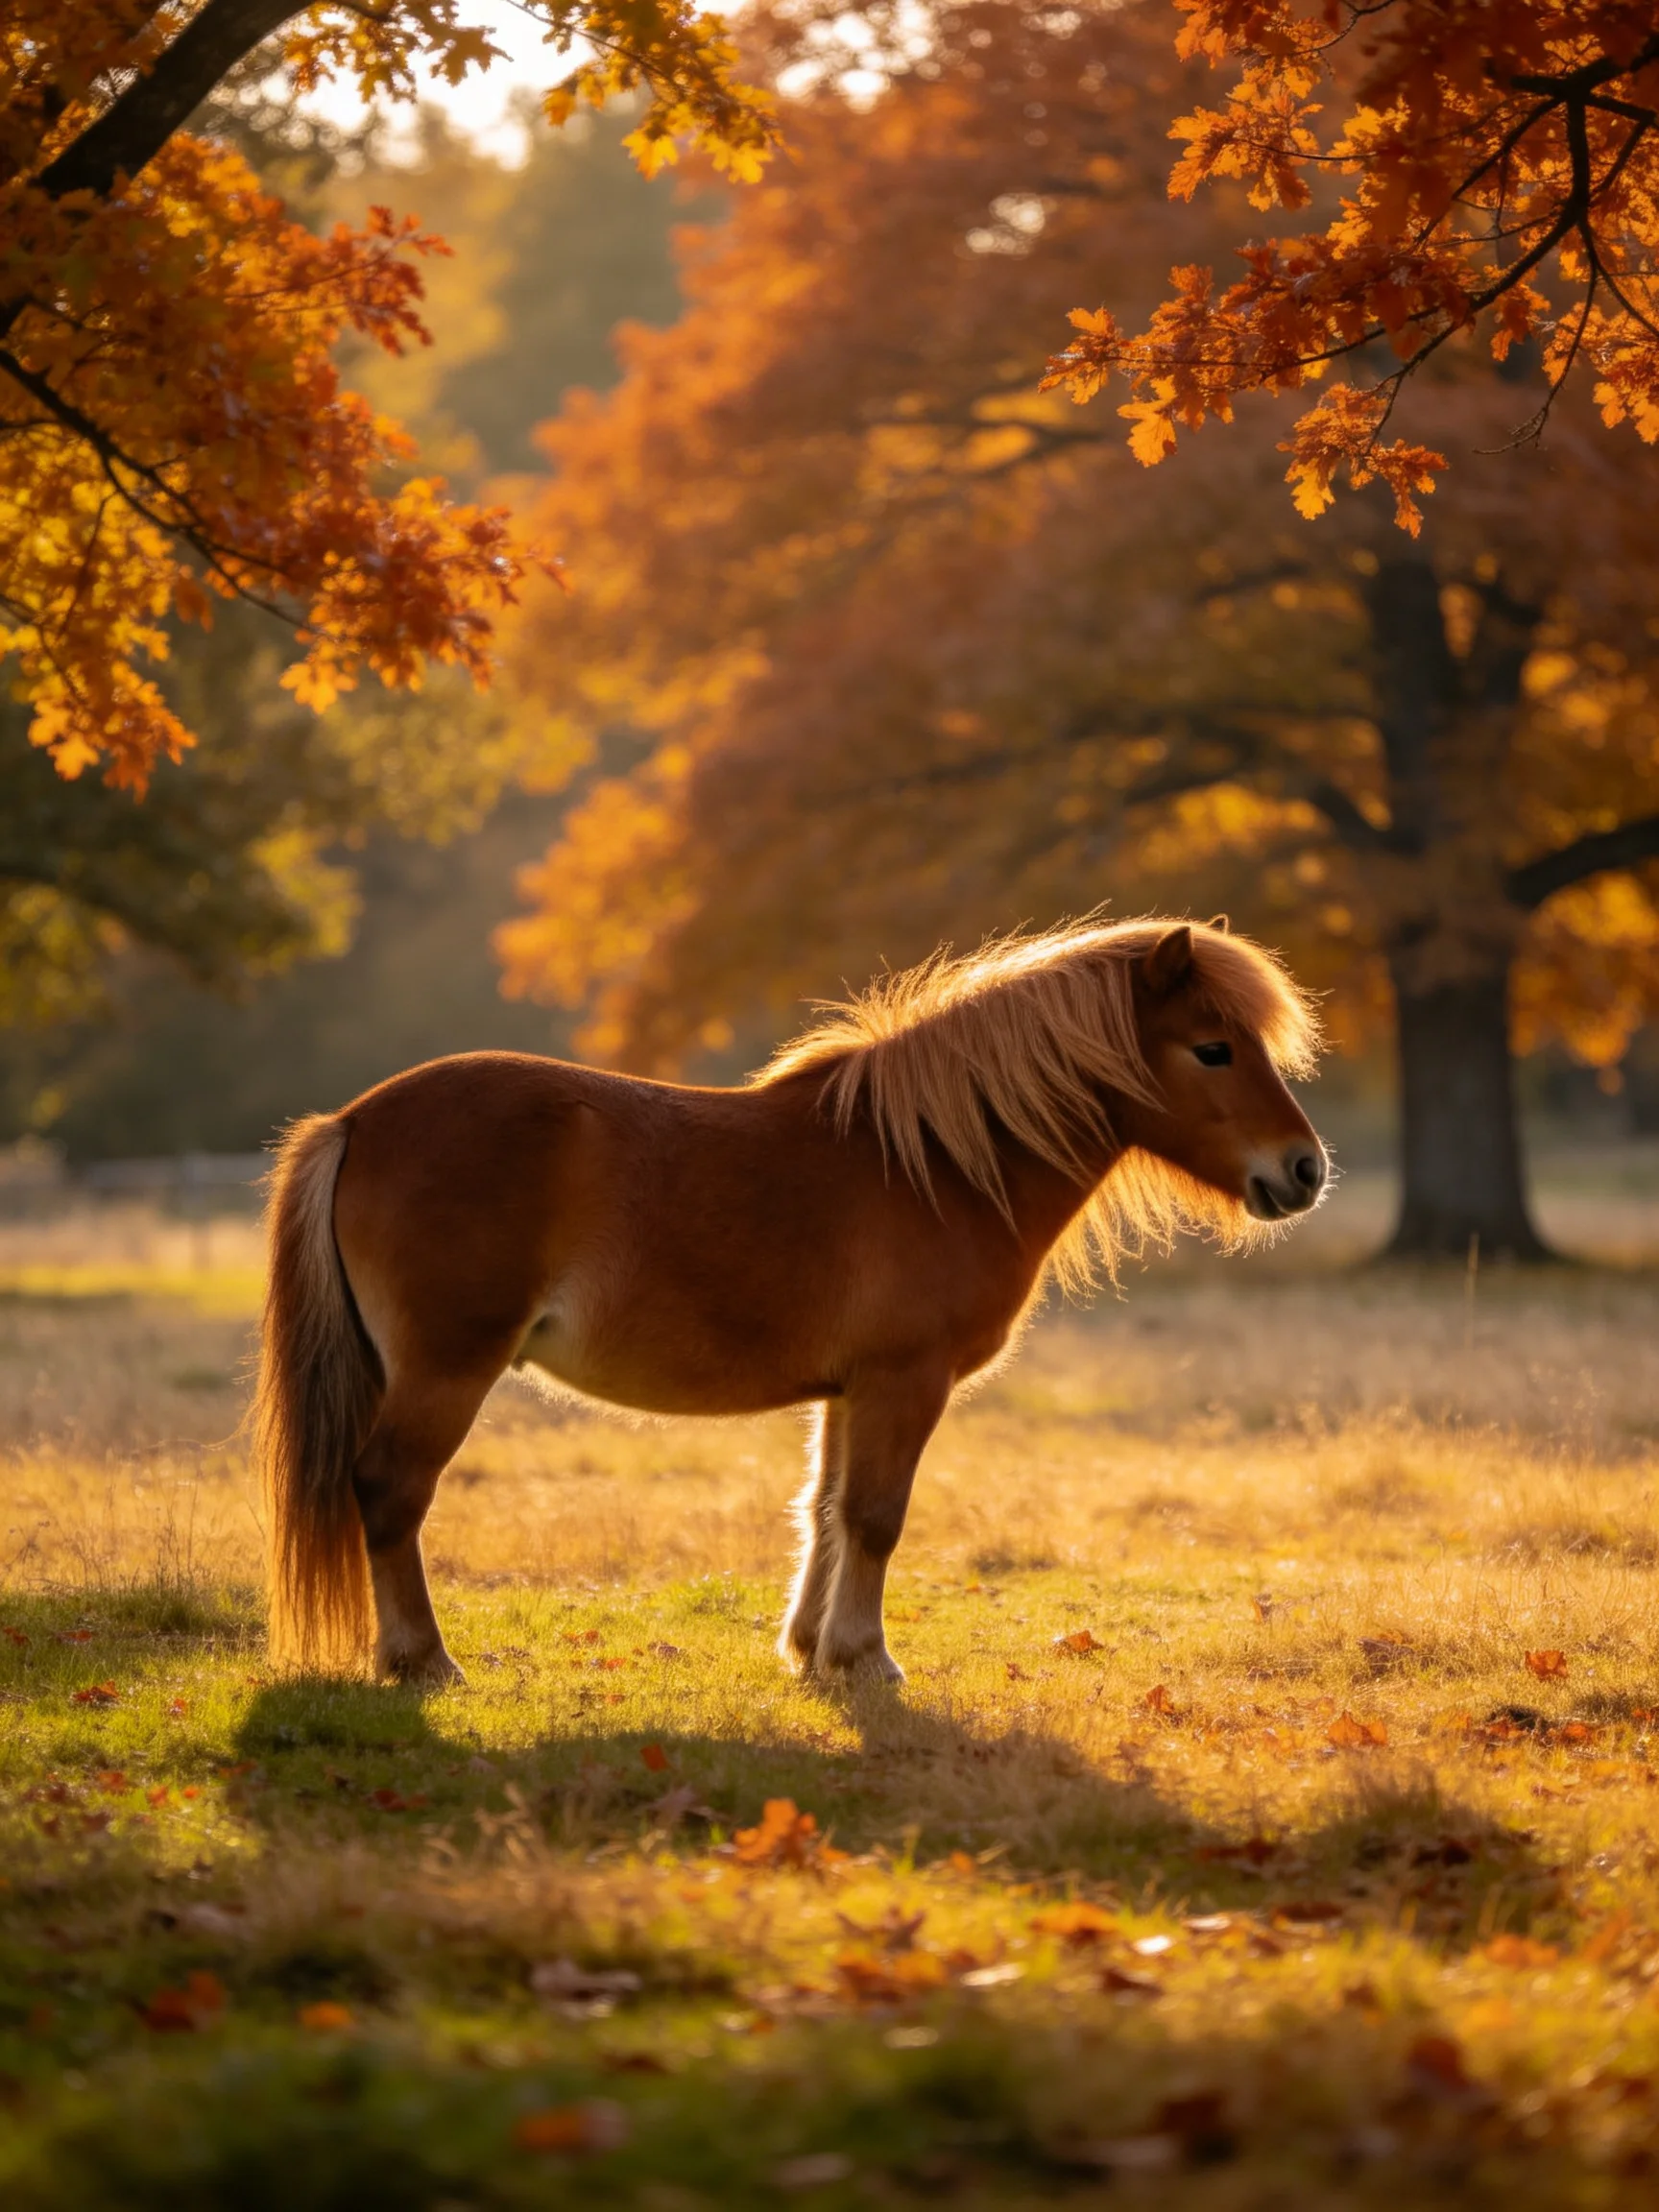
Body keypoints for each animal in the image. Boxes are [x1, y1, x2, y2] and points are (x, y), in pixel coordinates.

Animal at [256, 917, 1326, 1687]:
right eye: (1214, 1049)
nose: (1304, 1171)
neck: (936, 1165)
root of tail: (353, 1121)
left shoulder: (849, 1391)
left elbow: (825, 1510)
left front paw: (811, 1650)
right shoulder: (905, 1382)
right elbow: (878, 1517)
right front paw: (866, 1660)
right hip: (447, 1369)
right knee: (390, 1490)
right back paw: (424, 1662)